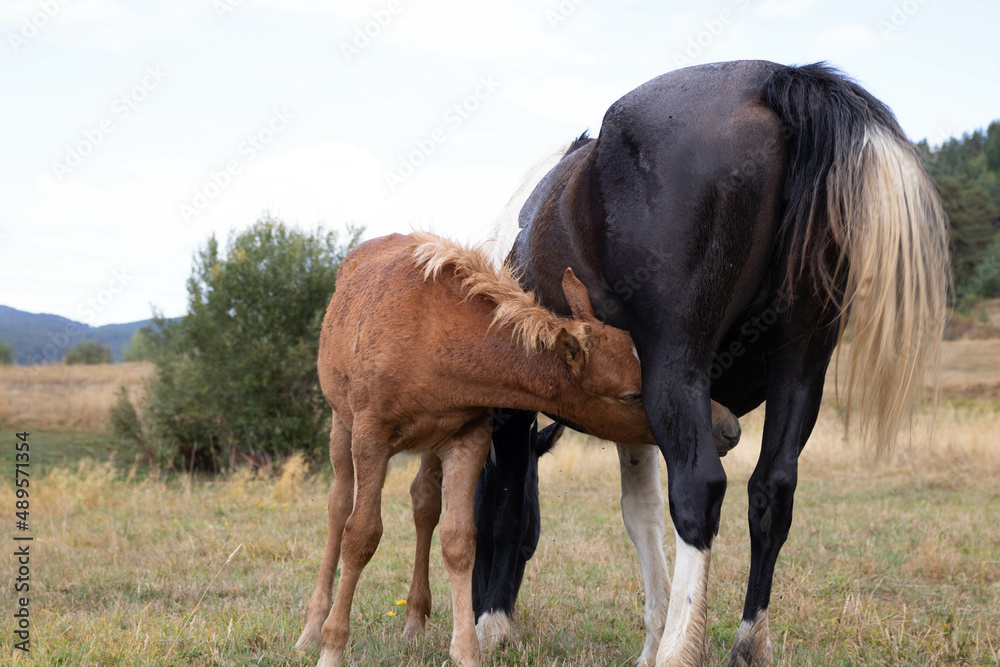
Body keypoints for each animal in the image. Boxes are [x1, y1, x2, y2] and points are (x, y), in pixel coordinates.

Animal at [294, 232, 739, 667]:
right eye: (632, 395)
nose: (728, 427)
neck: (433, 335)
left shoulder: (468, 436)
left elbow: (459, 539)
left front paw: (466, 652)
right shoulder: (370, 436)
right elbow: (361, 534)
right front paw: (331, 648)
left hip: (428, 445)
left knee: (424, 504)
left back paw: (414, 624)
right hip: (341, 424)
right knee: (339, 506)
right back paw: (311, 629)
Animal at [479, 60, 950, 667]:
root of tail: (774, 78)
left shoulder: (517, 409)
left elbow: (508, 510)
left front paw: (491, 628)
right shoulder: (628, 410)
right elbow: (641, 514)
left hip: (678, 367)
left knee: (700, 490)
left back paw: (681, 648)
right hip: (801, 368)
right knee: (771, 493)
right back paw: (747, 645)